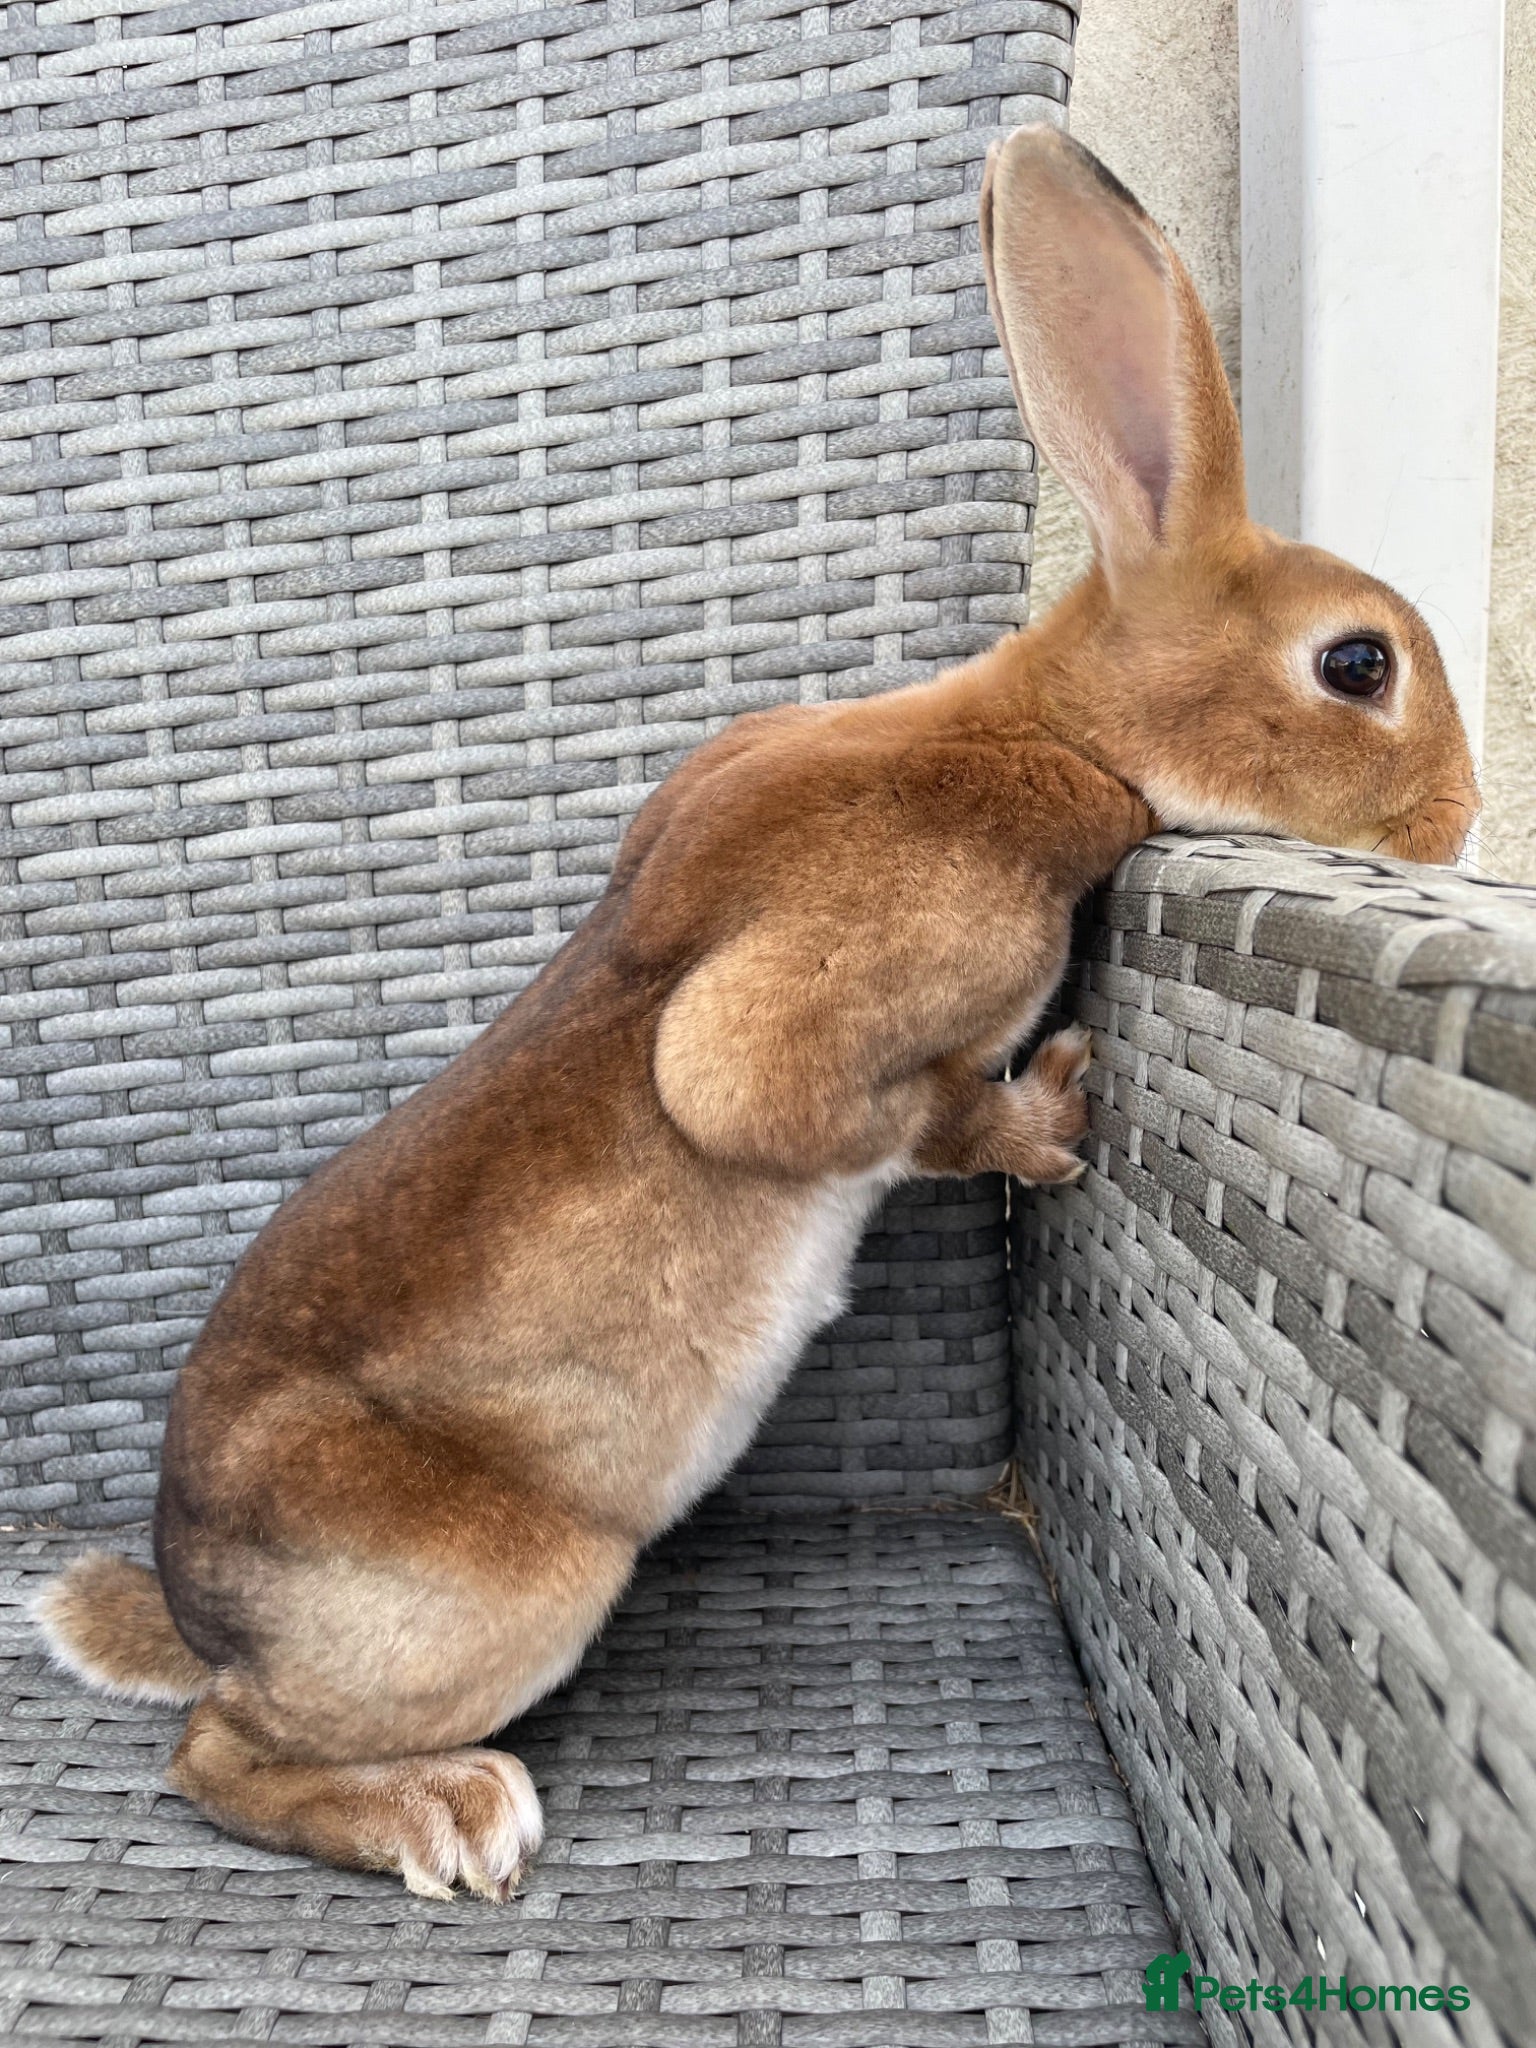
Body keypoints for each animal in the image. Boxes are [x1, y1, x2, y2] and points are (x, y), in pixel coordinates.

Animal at [35, 124, 1477, 1900]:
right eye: (1358, 666)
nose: (1464, 824)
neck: (1047, 728)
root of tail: (205, 1619)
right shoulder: (815, 1011)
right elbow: (821, 1100)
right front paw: (1051, 1117)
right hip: (510, 1593)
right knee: (211, 1760)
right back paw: (444, 1817)